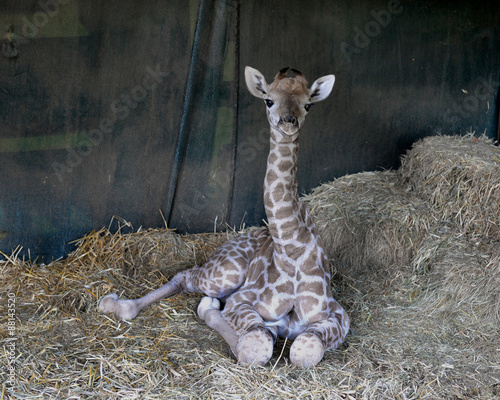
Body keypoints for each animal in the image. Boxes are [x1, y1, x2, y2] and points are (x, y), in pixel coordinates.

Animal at [99, 66, 350, 368]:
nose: (288, 122)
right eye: (268, 100)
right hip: (227, 271)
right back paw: (114, 304)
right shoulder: (242, 301)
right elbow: (255, 348)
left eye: (308, 104)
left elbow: (305, 350)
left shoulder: (338, 315)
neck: (292, 248)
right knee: (186, 276)